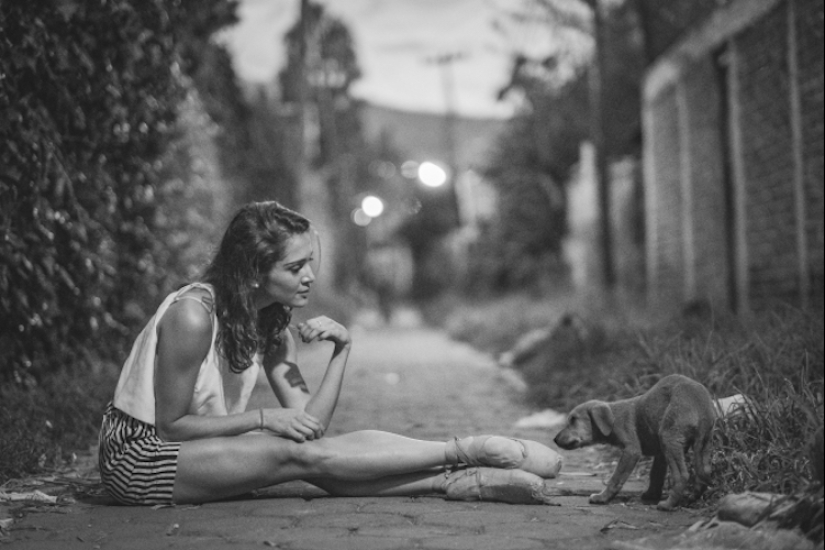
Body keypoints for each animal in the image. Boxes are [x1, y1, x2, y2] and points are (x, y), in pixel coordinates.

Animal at [552, 376, 716, 512]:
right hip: (703, 443)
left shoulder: (631, 450)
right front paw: (651, 494)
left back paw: (667, 505)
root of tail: (701, 407)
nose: (554, 439)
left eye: (573, 420)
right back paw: (692, 497)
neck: (614, 418)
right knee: (705, 472)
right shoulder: (660, 453)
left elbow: (616, 477)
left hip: (669, 438)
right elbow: (655, 475)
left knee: (682, 475)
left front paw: (602, 497)